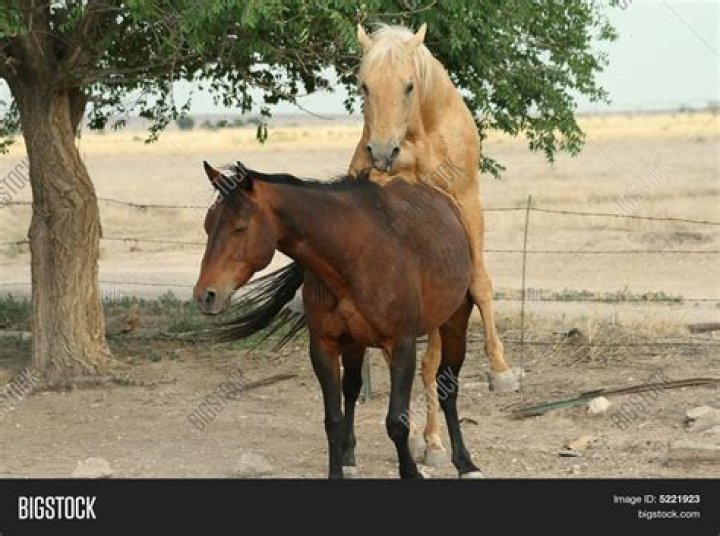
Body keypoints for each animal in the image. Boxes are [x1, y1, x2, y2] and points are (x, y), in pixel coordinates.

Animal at [194, 161, 483, 479]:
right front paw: (338, 467)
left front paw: (411, 472)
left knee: (448, 387)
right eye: (208, 225)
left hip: (454, 322)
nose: (205, 295)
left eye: (240, 227)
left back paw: (465, 463)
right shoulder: (325, 346)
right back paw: (349, 456)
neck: (354, 257)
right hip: (355, 343)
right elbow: (333, 418)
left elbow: (397, 421)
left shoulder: (402, 345)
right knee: (353, 388)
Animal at [347, 23, 518, 463]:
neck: (421, 133)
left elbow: (481, 284)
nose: (382, 152)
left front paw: (500, 371)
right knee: (416, 360)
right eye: (364, 85)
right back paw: (428, 440)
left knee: (430, 359)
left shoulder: (467, 199)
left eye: (409, 85)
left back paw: (432, 440)